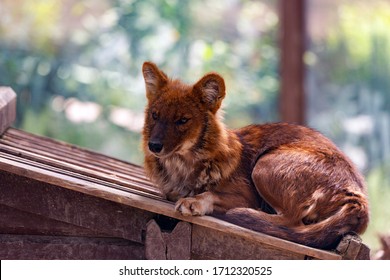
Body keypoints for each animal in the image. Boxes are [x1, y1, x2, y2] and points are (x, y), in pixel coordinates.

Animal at [140, 61, 368, 249]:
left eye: (182, 120)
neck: (181, 166)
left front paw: (193, 201)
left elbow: (211, 193)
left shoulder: (246, 195)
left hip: (264, 165)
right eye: (155, 115)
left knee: (293, 221)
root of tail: (358, 198)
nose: (154, 145)